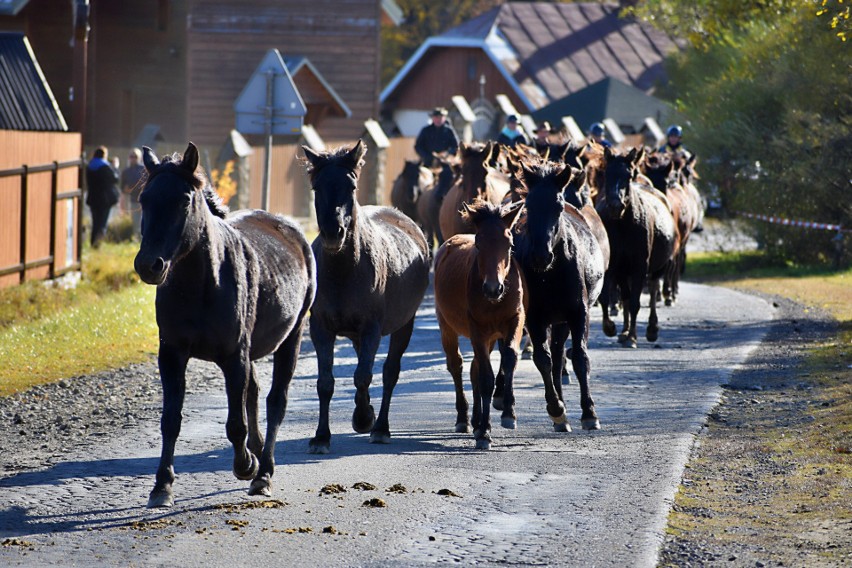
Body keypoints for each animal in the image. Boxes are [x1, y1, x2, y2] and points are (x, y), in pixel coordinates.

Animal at [135, 142, 314, 506]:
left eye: (184, 201)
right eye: (144, 199)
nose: (149, 265)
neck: (202, 283)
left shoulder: (234, 357)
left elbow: (235, 424)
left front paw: (246, 465)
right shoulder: (172, 354)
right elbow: (170, 420)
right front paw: (162, 485)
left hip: (292, 337)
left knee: (276, 401)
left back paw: (263, 472)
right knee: (255, 393)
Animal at [302, 141, 430, 452]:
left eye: (351, 186)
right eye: (317, 186)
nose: (333, 233)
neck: (343, 270)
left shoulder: (372, 326)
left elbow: (363, 375)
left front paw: (363, 419)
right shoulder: (321, 327)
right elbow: (325, 382)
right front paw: (321, 436)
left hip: (404, 325)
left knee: (389, 372)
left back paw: (380, 426)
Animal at [436, 200, 528, 448]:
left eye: (509, 244)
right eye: (478, 244)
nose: (493, 288)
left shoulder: (514, 320)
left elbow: (510, 357)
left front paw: (508, 413)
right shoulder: (477, 329)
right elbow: (486, 378)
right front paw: (485, 432)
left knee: (473, 368)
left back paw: (477, 421)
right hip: (447, 326)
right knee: (457, 365)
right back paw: (465, 419)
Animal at [512, 160, 604, 430]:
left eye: (558, 206)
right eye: (529, 205)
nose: (541, 256)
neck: (551, 274)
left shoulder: (578, 313)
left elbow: (580, 358)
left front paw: (589, 413)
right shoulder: (535, 318)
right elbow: (543, 359)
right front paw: (556, 408)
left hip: (561, 320)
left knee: (560, 352)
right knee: (553, 356)